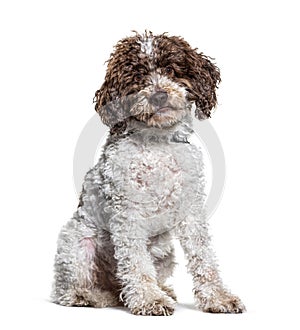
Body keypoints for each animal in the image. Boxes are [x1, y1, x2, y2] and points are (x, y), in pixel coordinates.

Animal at [51, 31, 245, 318]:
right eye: (137, 77)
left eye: (171, 70)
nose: (159, 96)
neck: (158, 143)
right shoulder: (127, 212)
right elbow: (135, 261)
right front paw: (148, 299)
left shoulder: (190, 210)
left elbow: (203, 255)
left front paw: (218, 296)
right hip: (76, 245)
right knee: (65, 290)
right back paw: (90, 296)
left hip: (164, 253)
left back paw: (158, 290)